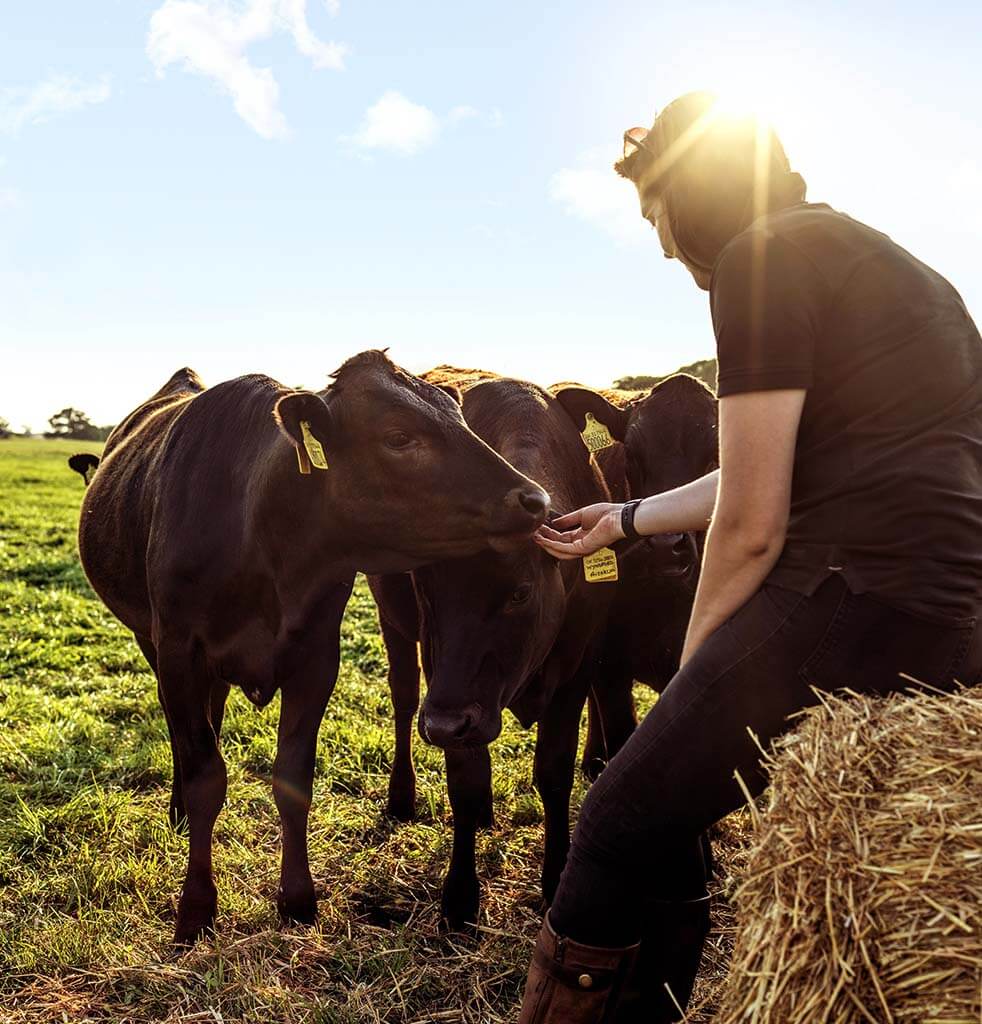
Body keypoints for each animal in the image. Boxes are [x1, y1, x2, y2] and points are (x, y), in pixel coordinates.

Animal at [74, 352, 552, 942]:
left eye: (459, 418)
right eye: (398, 437)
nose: (534, 498)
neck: (262, 534)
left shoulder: (316, 659)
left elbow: (292, 776)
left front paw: (298, 898)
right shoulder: (179, 654)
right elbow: (207, 775)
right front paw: (196, 908)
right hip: (152, 642)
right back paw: (179, 806)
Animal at [368, 374, 614, 929]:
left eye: (520, 592)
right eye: (427, 586)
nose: (443, 725)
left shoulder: (576, 669)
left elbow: (553, 773)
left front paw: (555, 878)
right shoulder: (443, 677)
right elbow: (463, 777)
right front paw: (460, 895)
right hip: (395, 629)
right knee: (403, 699)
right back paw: (404, 795)